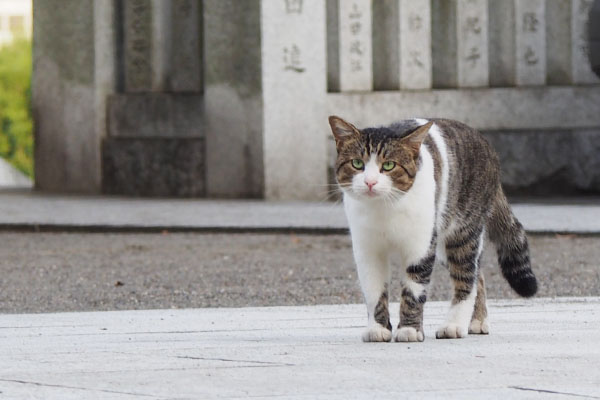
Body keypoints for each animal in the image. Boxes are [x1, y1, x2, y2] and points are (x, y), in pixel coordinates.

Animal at [328, 115, 540, 340]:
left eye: (389, 165)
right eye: (357, 163)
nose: (370, 182)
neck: (384, 209)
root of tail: (486, 144)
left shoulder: (420, 246)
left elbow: (413, 290)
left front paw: (409, 329)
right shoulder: (368, 249)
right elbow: (374, 290)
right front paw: (378, 328)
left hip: (461, 233)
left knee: (467, 277)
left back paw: (456, 324)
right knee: (478, 275)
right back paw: (476, 320)